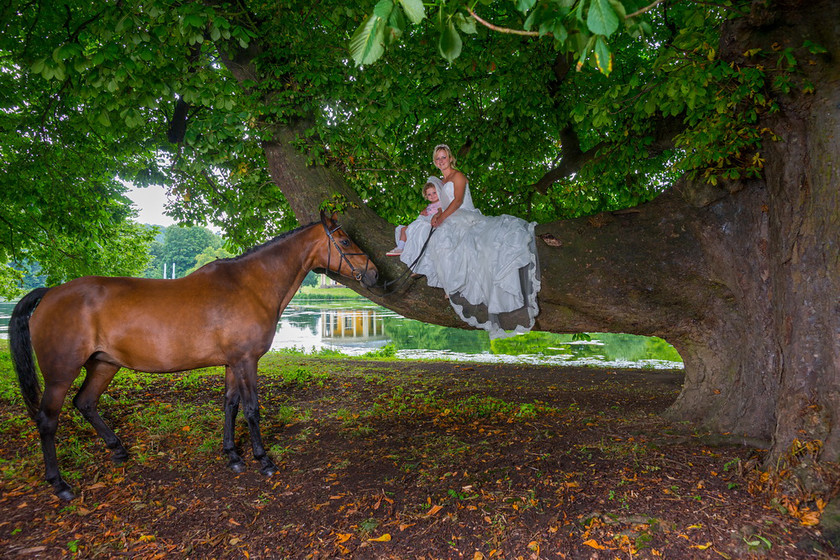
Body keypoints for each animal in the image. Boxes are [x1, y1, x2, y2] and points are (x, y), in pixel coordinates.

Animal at [9, 212, 378, 500]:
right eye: (344, 241)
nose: (375, 274)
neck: (250, 285)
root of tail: (51, 293)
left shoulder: (232, 363)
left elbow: (230, 405)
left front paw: (232, 456)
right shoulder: (247, 361)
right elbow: (251, 409)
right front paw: (263, 460)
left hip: (104, 365)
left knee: (85, 403)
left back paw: (118, 450)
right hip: (61, 374)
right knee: (48, 420)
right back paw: (60, 484)